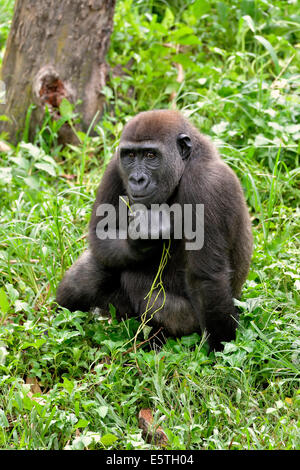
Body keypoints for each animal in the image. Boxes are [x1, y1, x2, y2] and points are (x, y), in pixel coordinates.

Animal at [55, 110, 251, 350]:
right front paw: (142, 238)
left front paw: (221, 349)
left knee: (148, 295)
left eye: (150, 155)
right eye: (130, 155)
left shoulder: (207, 185)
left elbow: (207, 279)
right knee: (91, 271)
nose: (137, 179)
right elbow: (101, 232)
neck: (187, 163)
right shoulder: (115, 166)